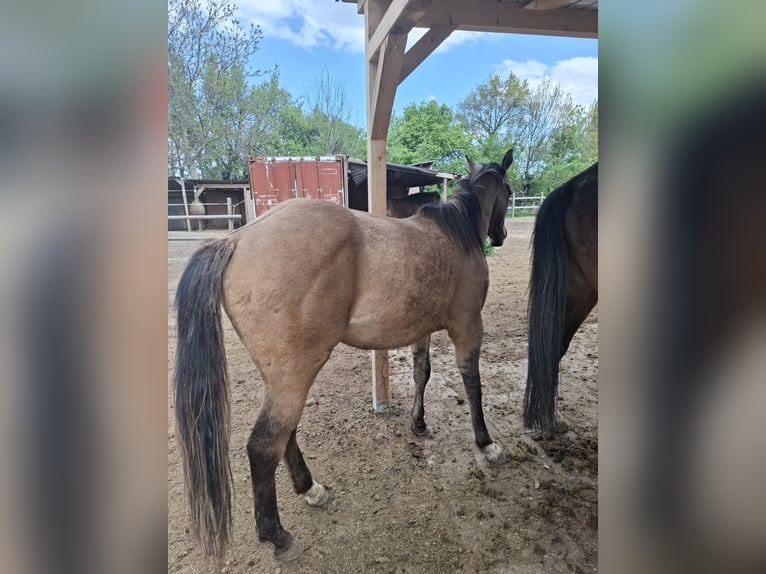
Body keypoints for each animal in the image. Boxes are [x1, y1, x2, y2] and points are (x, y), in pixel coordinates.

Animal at [173, 148, 515, 562]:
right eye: (509, 191)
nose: (501, 235)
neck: (454, 235)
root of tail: (235, 239)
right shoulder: (467, 326)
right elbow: (473, 383)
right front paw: (486, 443)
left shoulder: (423, 331)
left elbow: (423, 372)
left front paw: (418, 424)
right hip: (295, 374)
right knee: (263, 446)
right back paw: (278, 535)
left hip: (282, 377)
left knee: (285, 433)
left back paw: (309, 488)